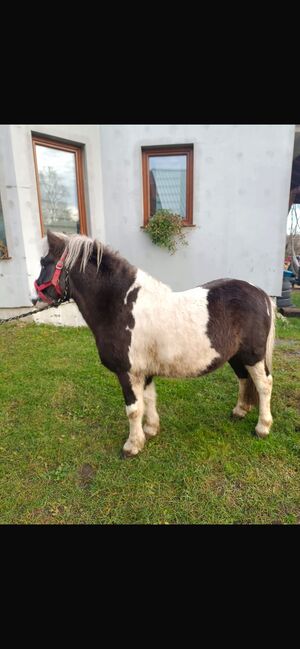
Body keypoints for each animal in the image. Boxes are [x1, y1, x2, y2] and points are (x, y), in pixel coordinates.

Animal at [34, 230, 276, 458]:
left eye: (44, 262)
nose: (35, 298)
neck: (121, 306)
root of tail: (260, 292)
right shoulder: (145, 371)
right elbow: (149, 399)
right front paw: (150, 430)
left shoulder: (127, 372)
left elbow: (133, 409)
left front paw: (132, 446)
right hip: (236, 356)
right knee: (244, 379)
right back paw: (239, 411)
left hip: (253, 355)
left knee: (264, 384)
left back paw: (262, 428)